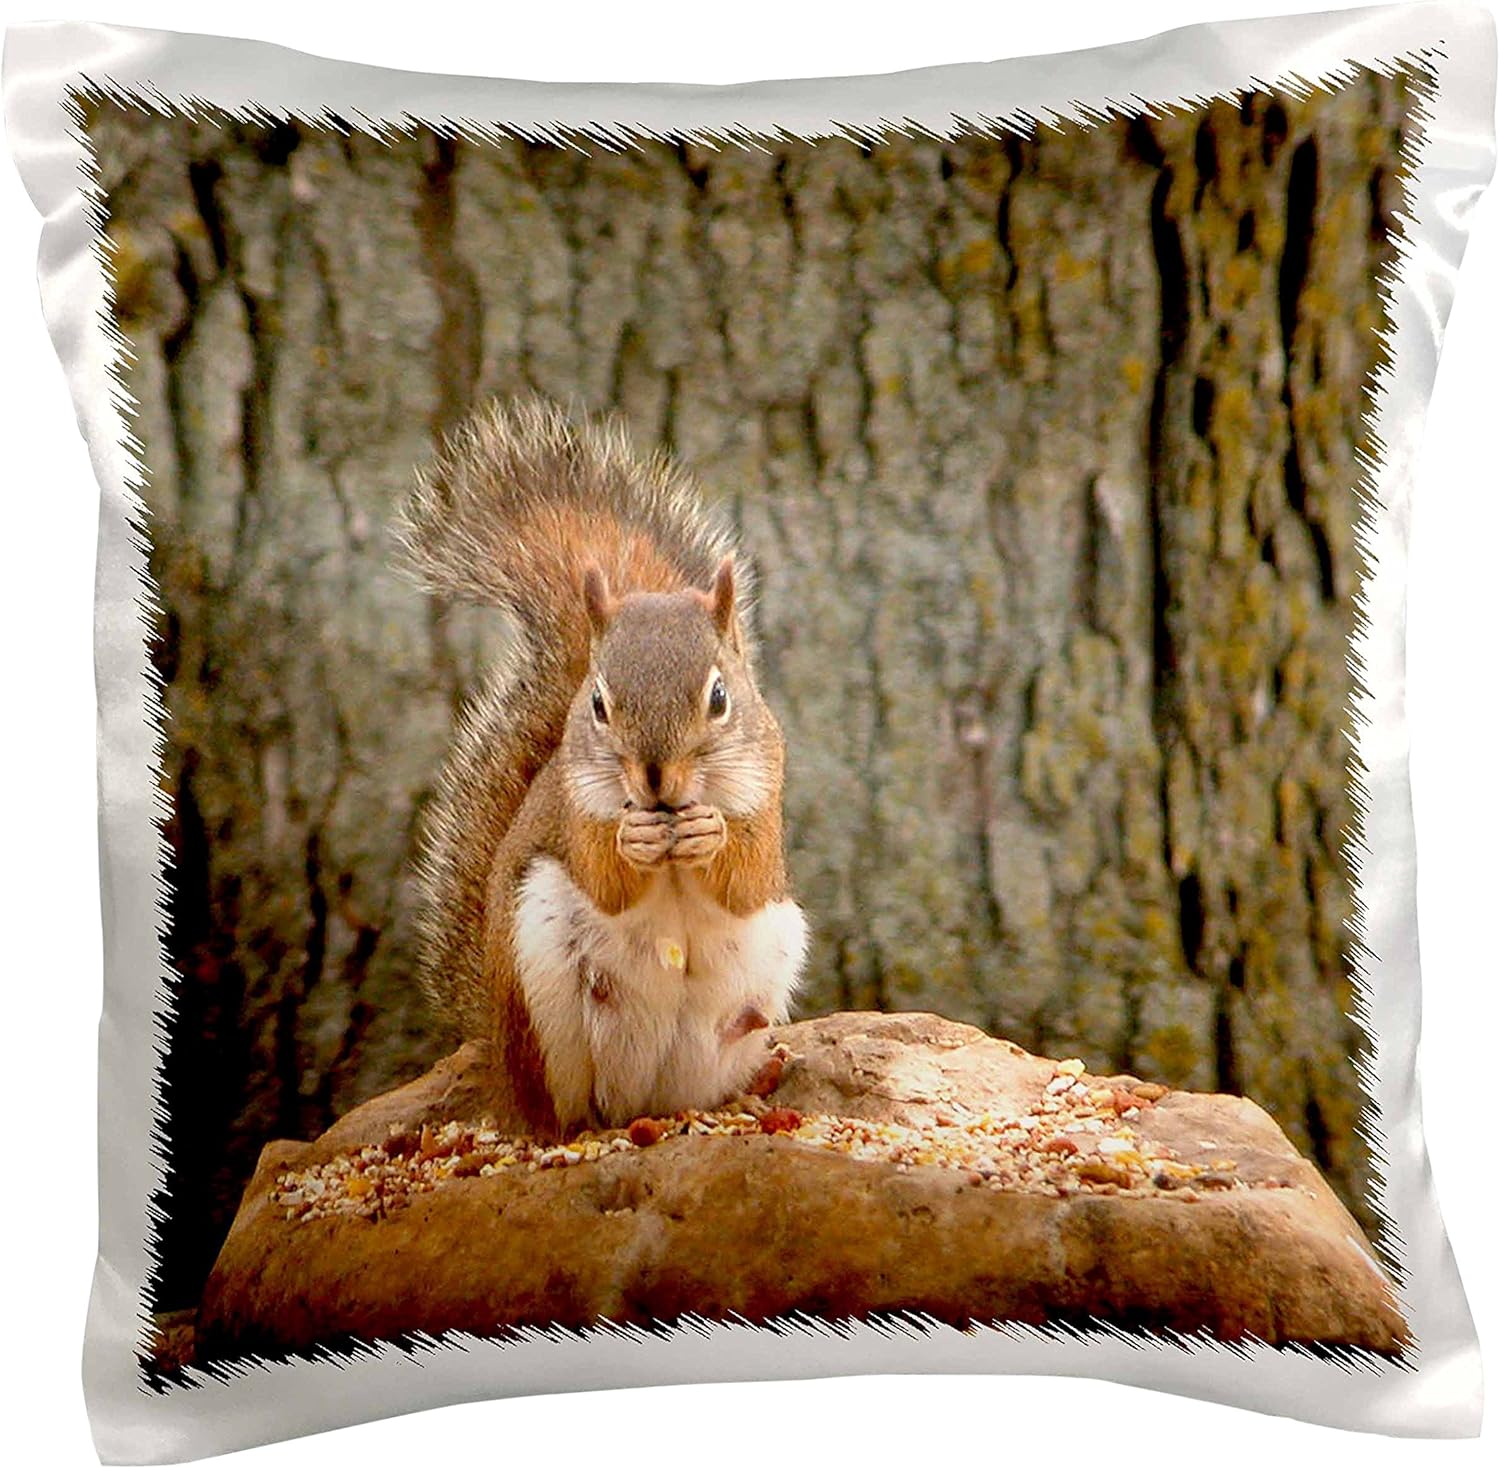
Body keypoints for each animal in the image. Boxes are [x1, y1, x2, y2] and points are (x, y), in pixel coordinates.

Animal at [396, 398, 809, 1138]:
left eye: (719, 696)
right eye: (598, 703)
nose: (656, 778)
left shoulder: (766, 797)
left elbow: (748, 879)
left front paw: (708, 833)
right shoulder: (574, 809)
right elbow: (604, 875)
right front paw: (633, 839)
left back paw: (752, 1086)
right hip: (542, 987)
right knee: (562, 1107)